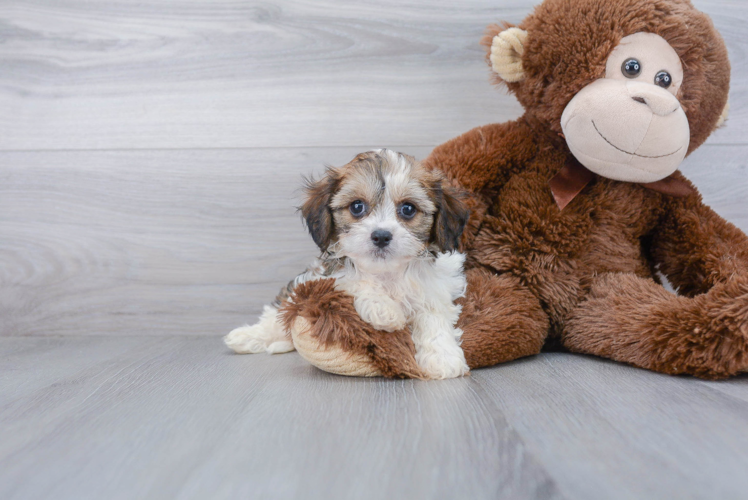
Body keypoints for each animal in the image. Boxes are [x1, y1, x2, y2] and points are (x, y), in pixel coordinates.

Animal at [222, 148, 470, 378]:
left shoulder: (440, 283)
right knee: (277, 314)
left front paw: (442, 357)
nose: (381, 236)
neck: (387, 272)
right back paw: (247, 336)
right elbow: (352, 279)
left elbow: (433, 312)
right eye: (357, 206)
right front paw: (383, 309)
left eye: (408, 209)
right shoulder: (322, 274)